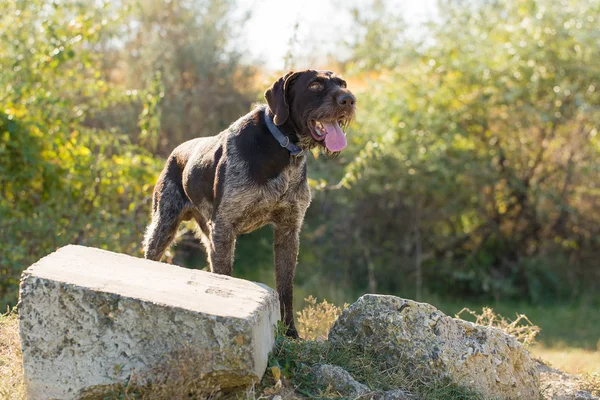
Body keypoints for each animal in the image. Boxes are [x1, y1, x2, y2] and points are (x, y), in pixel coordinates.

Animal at [142, 69, 354, 338]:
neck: (281, 147)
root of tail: (176, 151)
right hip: (164, 226)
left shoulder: (288, 230)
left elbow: (286, 289)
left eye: (342, 83)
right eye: (315, 85)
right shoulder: (224, 227)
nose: (349, 100)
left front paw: (290, 333)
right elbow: (226, 278)